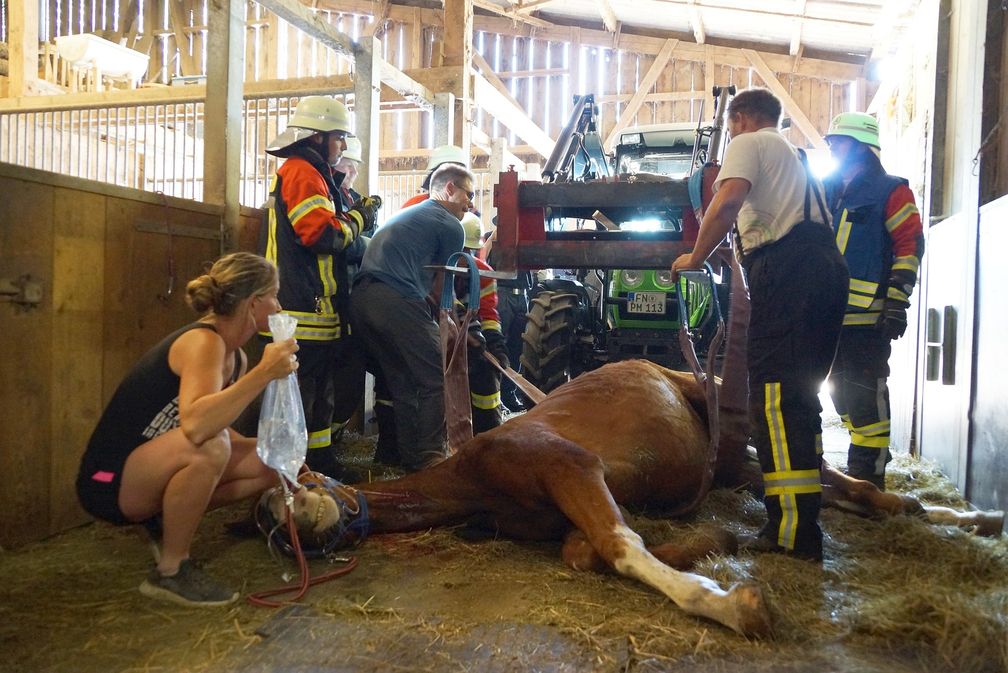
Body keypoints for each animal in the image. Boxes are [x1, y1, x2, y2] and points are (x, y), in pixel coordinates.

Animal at [264, 356, 1003, 636]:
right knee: (818, 485)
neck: (472, 478)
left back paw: (955, 513)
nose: (275, 521)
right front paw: (715, 543)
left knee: (816, 473)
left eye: (295, 485)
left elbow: (619, 545)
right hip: (728, 464)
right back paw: (952, 513)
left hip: (724, 424)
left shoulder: (570, 464)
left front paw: (734, 602)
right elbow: (586, 550)